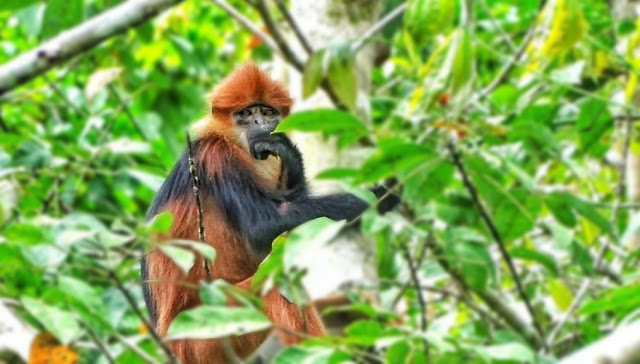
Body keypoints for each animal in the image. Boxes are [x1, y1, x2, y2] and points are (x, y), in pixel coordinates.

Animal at [142, 64, 398, 362]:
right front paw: (384, 196)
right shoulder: (216, 157)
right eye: (246, 114)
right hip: (203, 339)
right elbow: (264, 225)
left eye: (266, 112)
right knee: (276, 283)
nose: (258, 123)